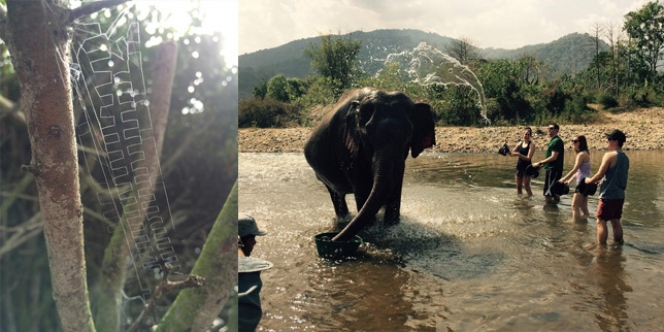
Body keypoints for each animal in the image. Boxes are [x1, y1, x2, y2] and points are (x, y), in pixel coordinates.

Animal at [304, 87, 436, 240]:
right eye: (367, 134)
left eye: (409, 134)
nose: (332, 239)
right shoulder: (346, 145)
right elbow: (362, 185)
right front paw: (370, 229)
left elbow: (395, 184)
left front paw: (391, 228)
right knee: (336, 195)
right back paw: (344, 219)